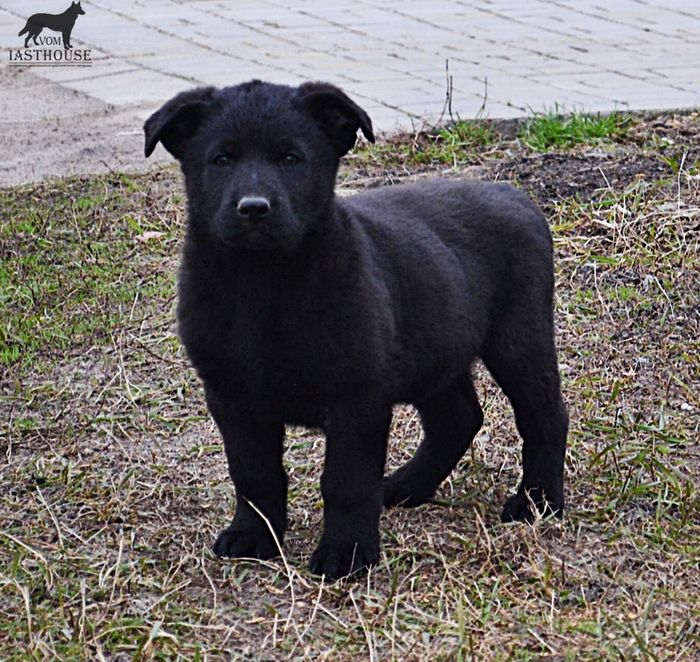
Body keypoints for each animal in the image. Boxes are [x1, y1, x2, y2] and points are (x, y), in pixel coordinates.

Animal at [144, 81, 568, 580]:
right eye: (221, 159)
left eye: (291, 158)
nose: (253, 209)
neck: (264, 286)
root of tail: (514, 194)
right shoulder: (232, 396)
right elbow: (253, 473)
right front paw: (253, 535)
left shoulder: (357, 397)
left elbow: (345, 480)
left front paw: (346, 551)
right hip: (433, 349)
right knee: (458, 417)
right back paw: (407, 485)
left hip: (519, 340)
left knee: (544, 416)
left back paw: (538, 503)